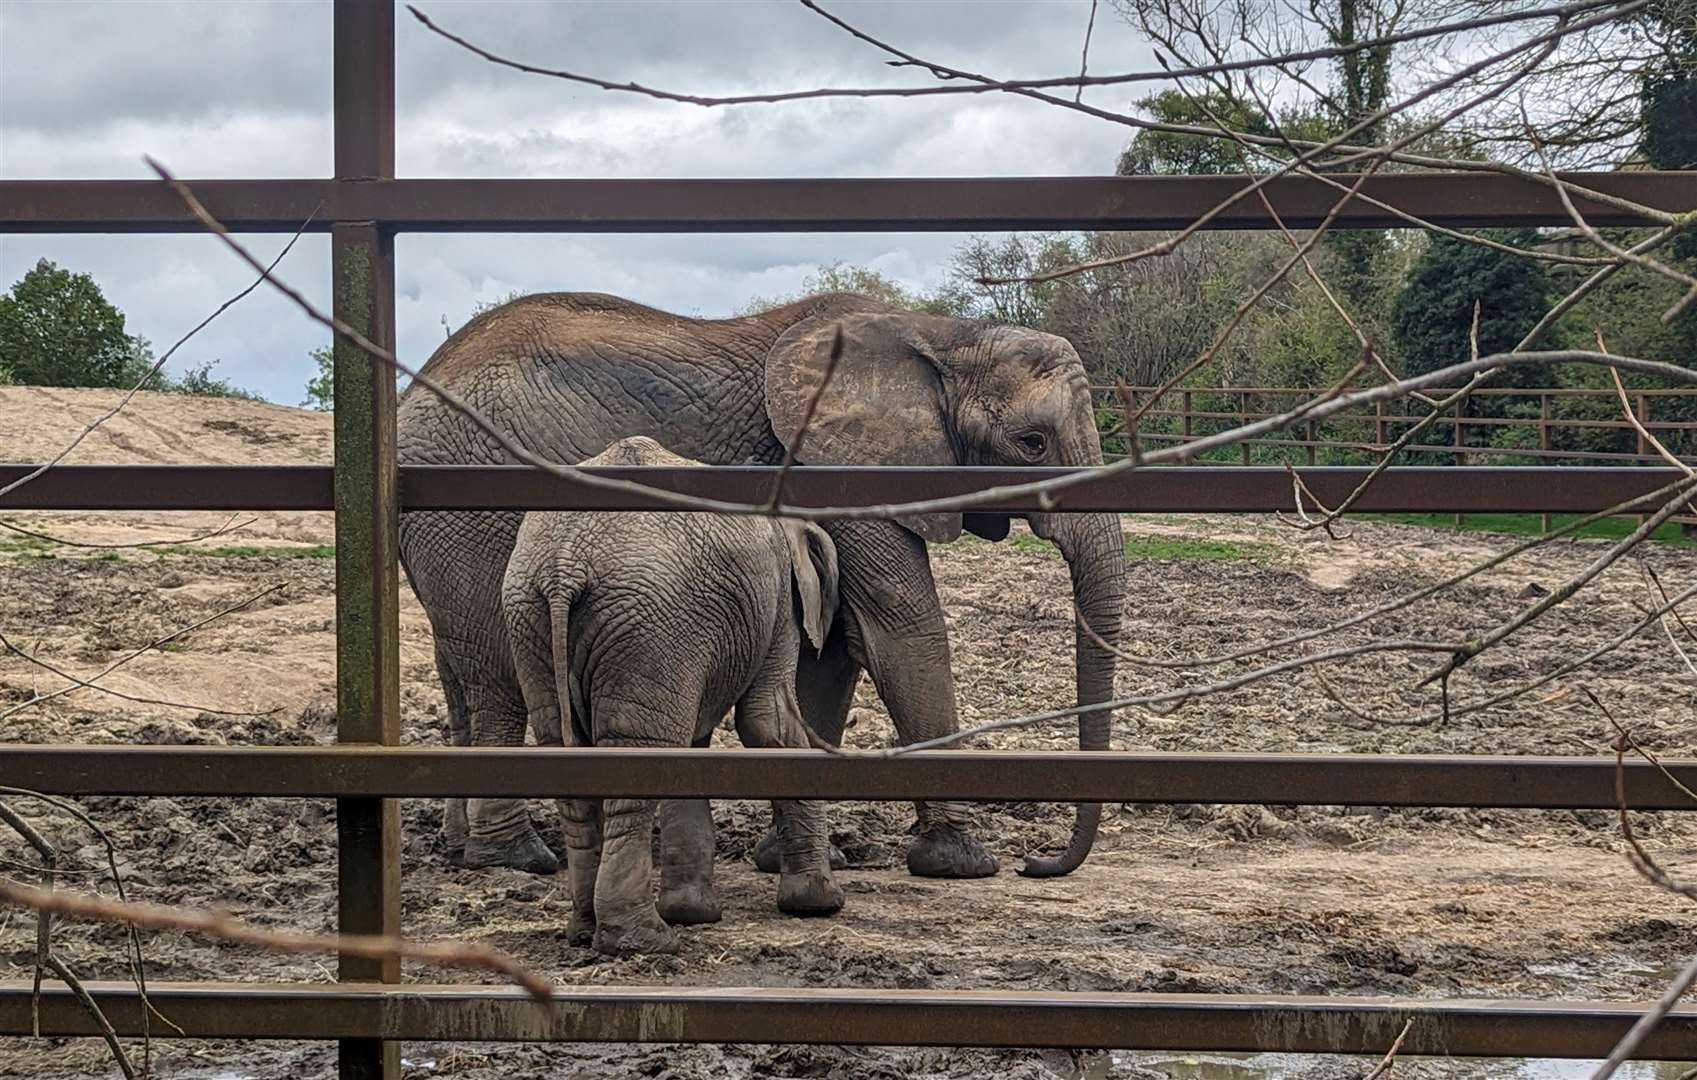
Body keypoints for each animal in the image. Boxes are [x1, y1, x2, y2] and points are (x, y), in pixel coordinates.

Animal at [397, 290, 1126, 883]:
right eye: (1032, 443)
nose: (1040, 864)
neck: (942, 335)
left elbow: (835, 647)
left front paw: (796, 856)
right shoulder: (830, 468)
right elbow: (899, 622)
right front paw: (962, 863)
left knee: (460, 673)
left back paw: (461, 850)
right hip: (470, 513)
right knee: (499, 682)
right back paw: (519, 858)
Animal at [502, 434, 848, 957]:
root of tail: (565, 567)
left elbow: (692, 747)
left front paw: (691, 913)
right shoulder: (776, 602)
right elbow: (768, 723)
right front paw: (819, 903)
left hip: (534, 620)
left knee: (570, 757)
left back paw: (584, 929)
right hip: (645, 623)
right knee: (638, 764)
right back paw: (641, 940)